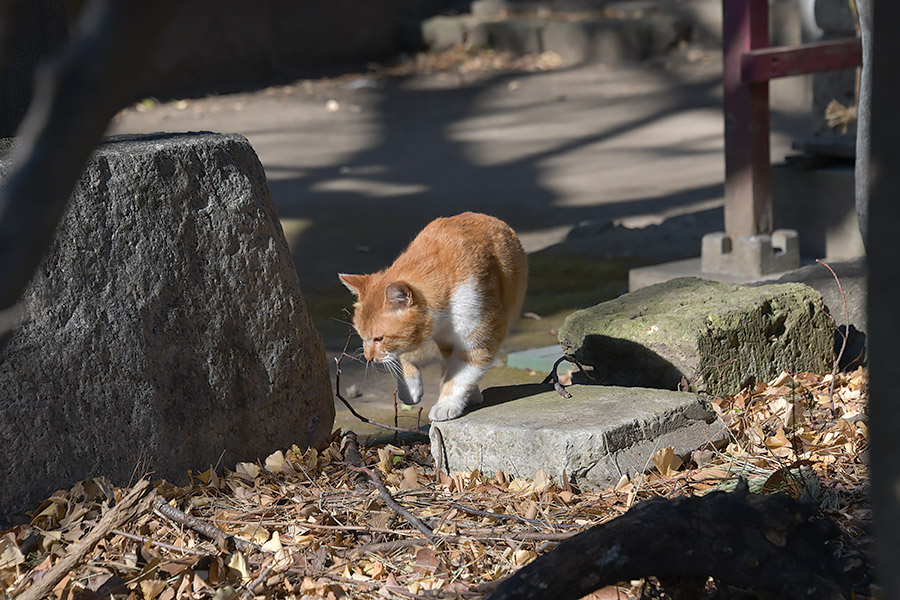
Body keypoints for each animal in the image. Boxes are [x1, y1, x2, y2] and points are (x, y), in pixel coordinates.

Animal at [340, 213, 528, 420]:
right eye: (362, 336)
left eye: (379, 338)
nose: (368, 358)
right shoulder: (437, 341)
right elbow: (411, 359)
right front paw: (412, 389)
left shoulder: (482, 337)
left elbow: (459, 376)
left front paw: (446, 404)